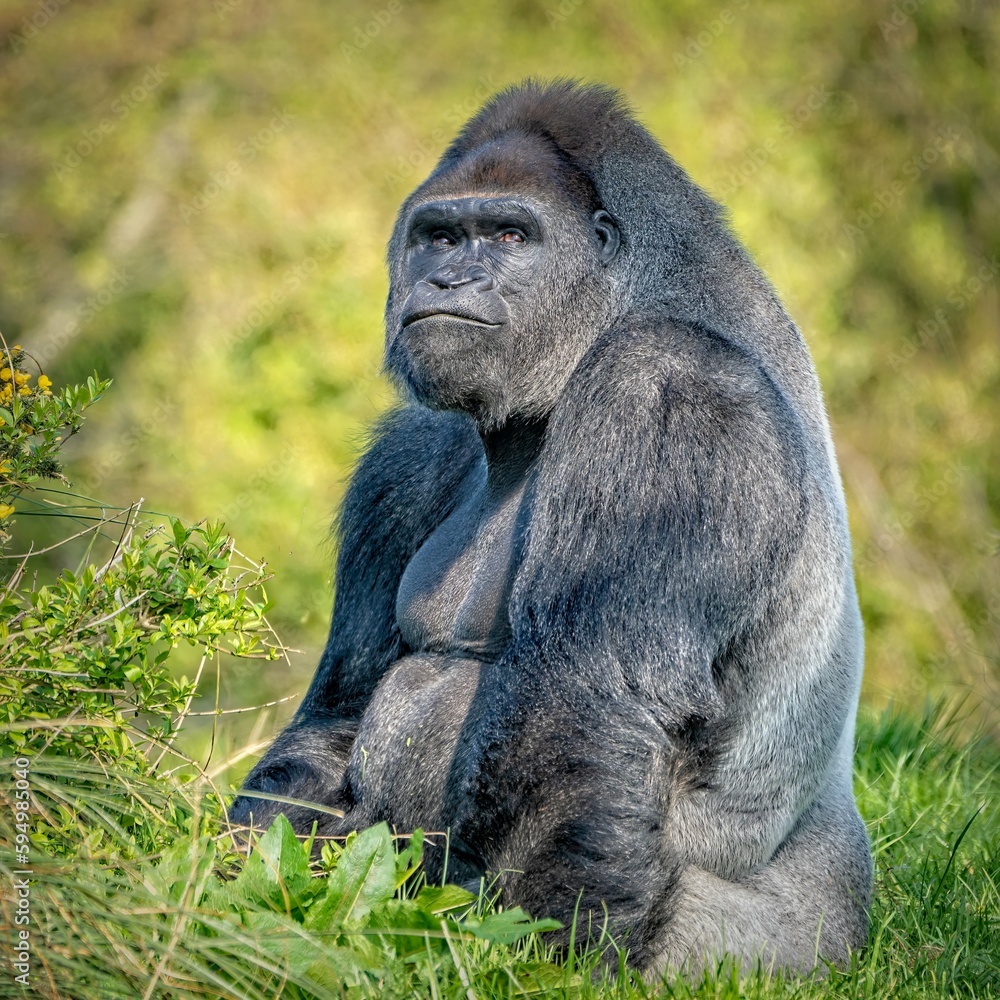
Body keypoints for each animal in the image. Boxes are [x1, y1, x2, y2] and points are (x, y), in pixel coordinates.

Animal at [230, 79, 873, 977]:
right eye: (440, 235)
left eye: (510, 234)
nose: (450, 277)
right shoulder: (408, 455)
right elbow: (340, 709)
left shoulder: (664, 392)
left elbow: (585, 705)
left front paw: (534, 960)